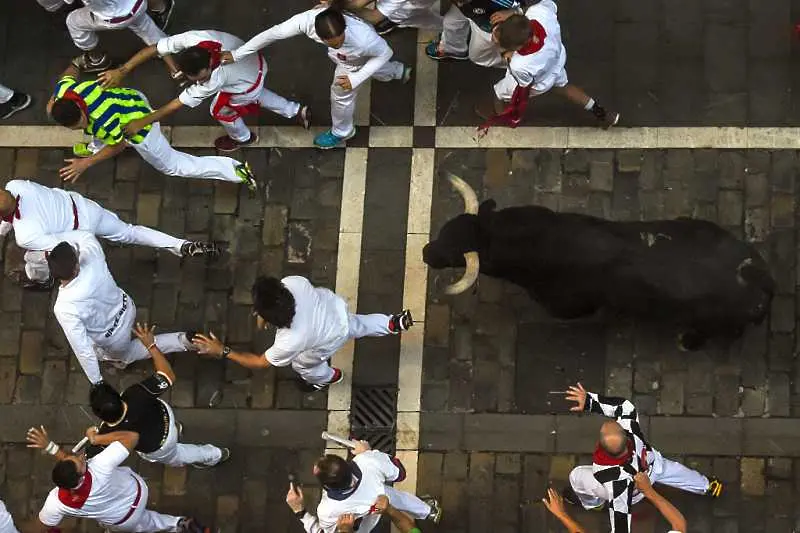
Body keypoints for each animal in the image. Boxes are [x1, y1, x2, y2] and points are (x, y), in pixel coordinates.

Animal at [424, 175, 776, 350]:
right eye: (446, 228)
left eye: (455, 254)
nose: (427, 252)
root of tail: (757, 275)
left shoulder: (569, 305)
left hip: (714, 325)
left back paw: (687, 341)